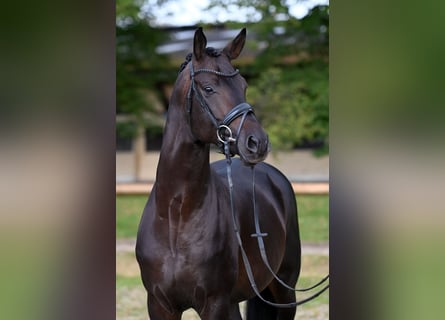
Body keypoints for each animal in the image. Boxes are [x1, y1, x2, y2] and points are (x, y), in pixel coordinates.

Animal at [135, 28, 300, 320]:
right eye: (209, 88)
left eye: (244, 86)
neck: (177, 215)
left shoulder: (215, 304)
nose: (257, 142)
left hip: (284, 290)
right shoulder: (159, 305)